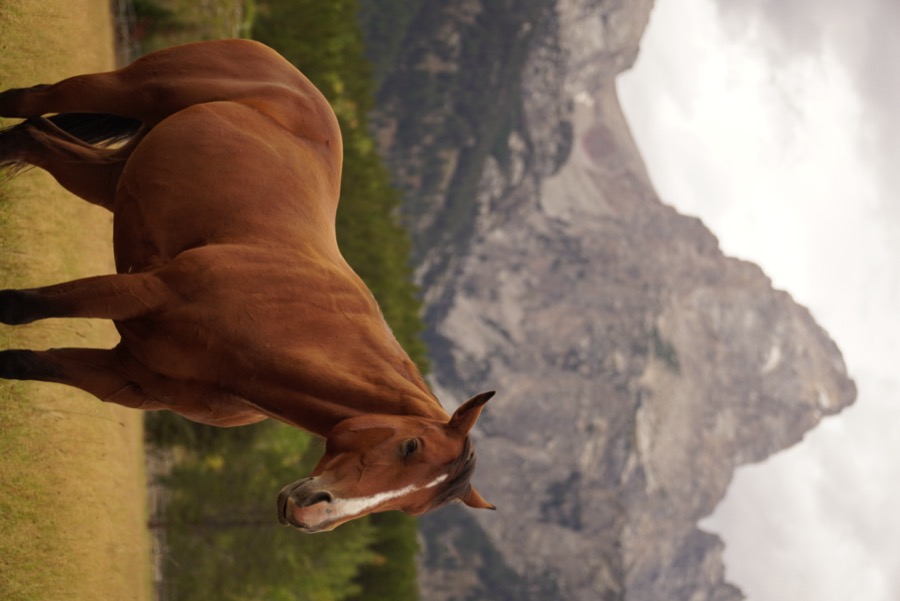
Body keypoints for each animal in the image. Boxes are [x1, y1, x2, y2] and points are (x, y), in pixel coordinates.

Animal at [0, 39, 495, 532]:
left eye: (412, 507)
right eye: (411, 446)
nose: (311, 513)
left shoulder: (122, 378)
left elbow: (21, 363)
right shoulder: (144, 291)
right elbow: (19, 308)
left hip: (107, 176)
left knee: (32, 137)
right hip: (125, 91)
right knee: (28, 101)